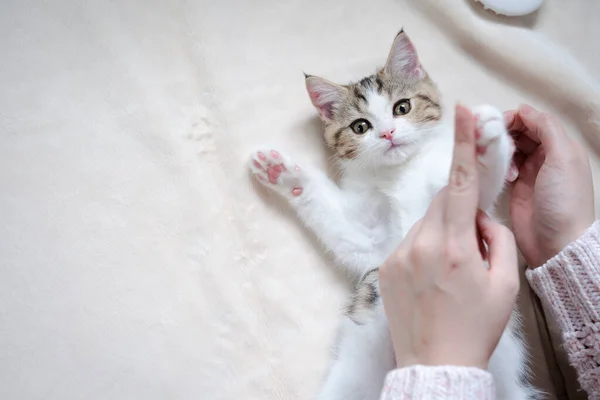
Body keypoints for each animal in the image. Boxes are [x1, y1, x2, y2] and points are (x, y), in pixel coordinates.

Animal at [247, 29, 536, 398]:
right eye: (360, 126)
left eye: (402, 107)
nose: (388, 133)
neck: (397, 174)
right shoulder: (370, 247)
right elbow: (343, 230)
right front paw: (283, 173)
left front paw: (478, 143)